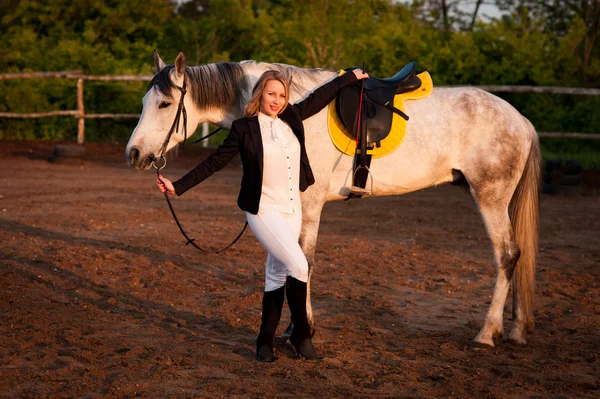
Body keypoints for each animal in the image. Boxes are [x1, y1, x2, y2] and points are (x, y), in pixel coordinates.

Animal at [125, 51, 540, 348]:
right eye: (144, 100)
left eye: (164, 104)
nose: (134, 153)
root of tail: (521, 120)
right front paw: (293, 327)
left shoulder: (308, 204)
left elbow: (304, 260)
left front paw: (302, 328)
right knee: (518, 256)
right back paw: (517, 329)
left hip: (490, 198)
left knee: (507, 255)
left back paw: (487, 333)